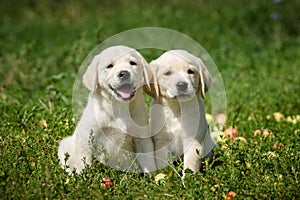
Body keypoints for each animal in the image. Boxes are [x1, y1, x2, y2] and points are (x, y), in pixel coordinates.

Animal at [59, 45, 157, 173]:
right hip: (64, 145)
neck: (119, 107)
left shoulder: (142, 138)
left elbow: (149, 163)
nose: (124, 73)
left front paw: (153, 177)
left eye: (133, 63)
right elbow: (84, 162)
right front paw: (84, 176)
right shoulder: (86, 137)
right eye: (109, 66)